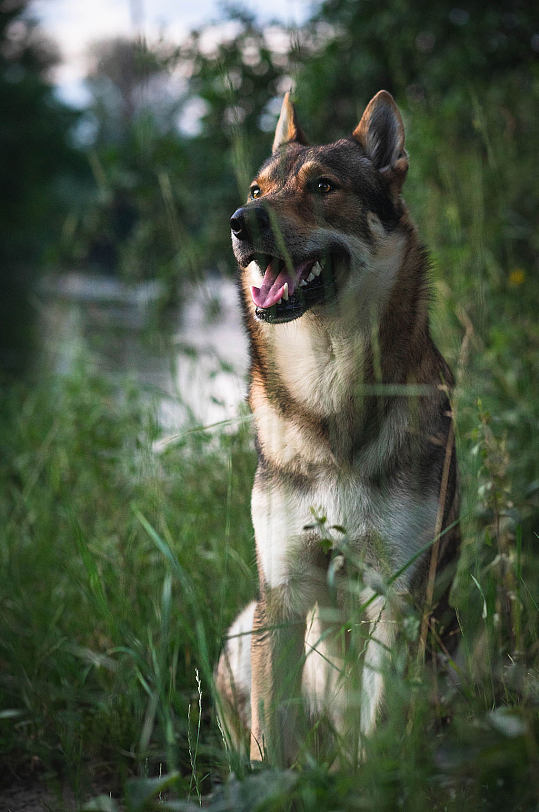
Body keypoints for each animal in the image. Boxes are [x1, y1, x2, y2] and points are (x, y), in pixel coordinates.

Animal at [215, 92, 460, 764]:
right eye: (257, 188)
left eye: (322, 186)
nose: (240, 220)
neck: (328, 391)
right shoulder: (282, 595)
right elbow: (268, 743)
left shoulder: (396, 599)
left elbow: (378, 732)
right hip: (242, 627)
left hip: (447, 635)